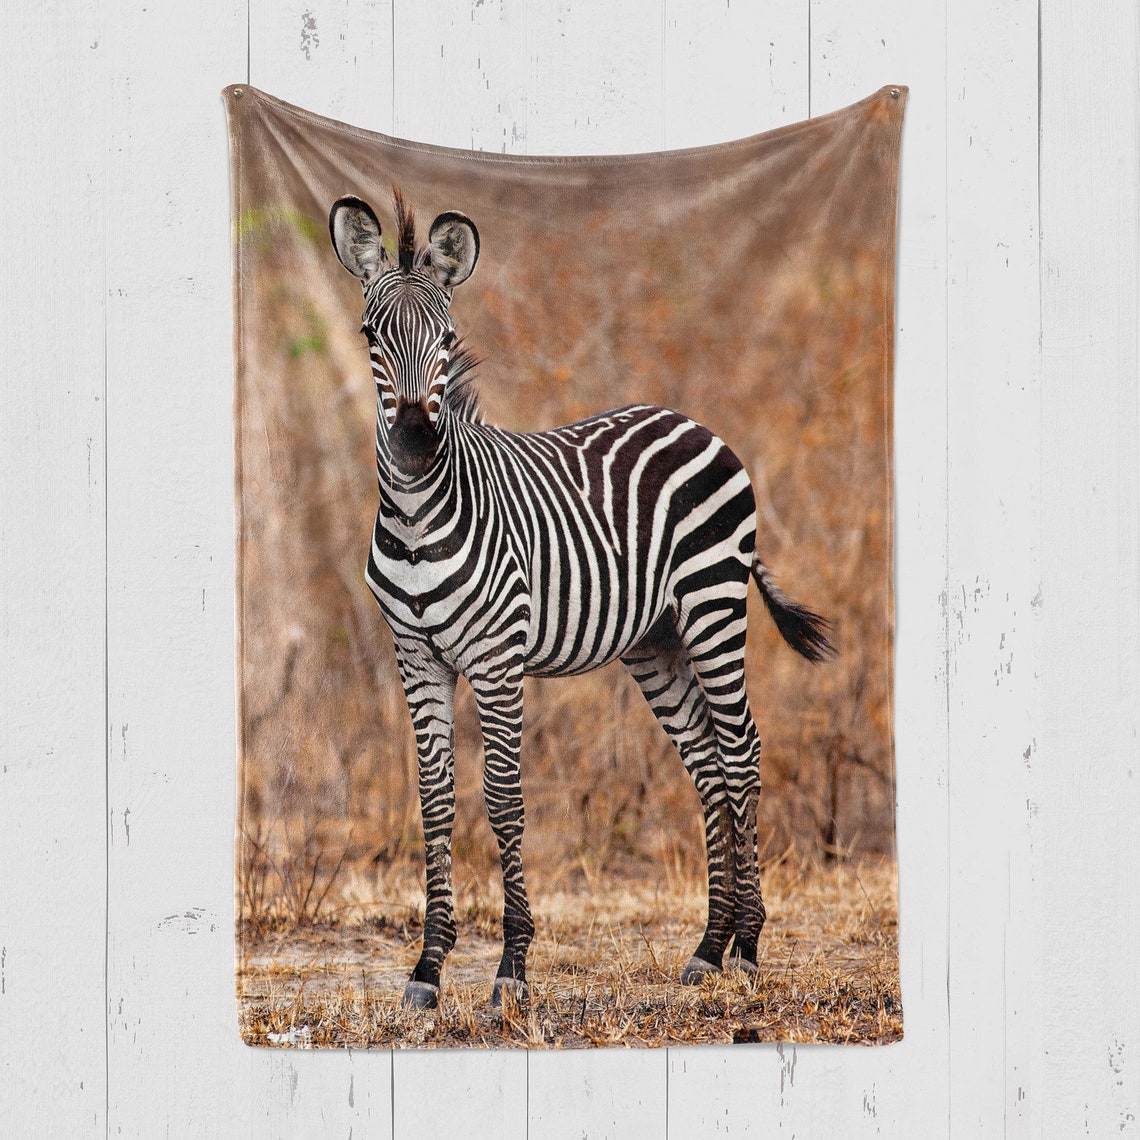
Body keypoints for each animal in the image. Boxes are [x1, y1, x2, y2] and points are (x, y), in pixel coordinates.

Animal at [329, 189, 833, 1011]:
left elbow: (503, 798)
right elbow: (435, 799)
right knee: (706, 763)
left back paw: (750, 947)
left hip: (713, 605)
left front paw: (511, 968)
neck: (417, 519)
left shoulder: (496, 659)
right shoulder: (416, 657)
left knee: (742, 752)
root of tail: (690, 420)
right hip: (656, 640)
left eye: (448, 337)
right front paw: (428, 969)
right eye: (371, 334)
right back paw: (708, 947)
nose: (412, 443)